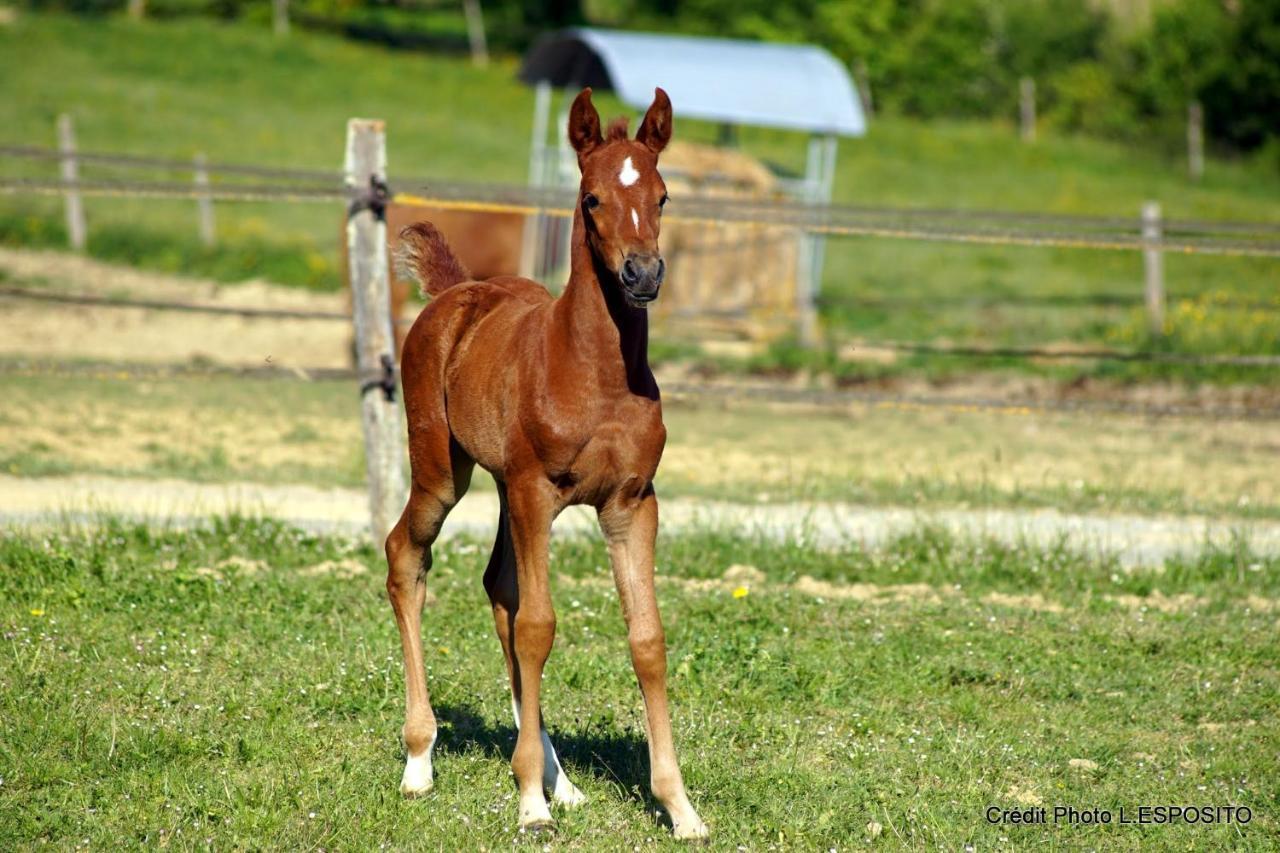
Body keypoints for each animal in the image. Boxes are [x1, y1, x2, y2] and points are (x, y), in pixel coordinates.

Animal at [386, 87, 711, 835]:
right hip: (443, 471)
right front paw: (529, 802)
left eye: (662, 195)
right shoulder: (539, 490)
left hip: (505, 489)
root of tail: (455, 292)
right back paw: (420, 759)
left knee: (498, 588)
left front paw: (679, 805)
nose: (642, 274)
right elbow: (539, 627)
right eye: (592, 197)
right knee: (406, 556)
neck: (596, 372)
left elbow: (646, 639)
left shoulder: (631, 502)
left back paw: (561, 777)